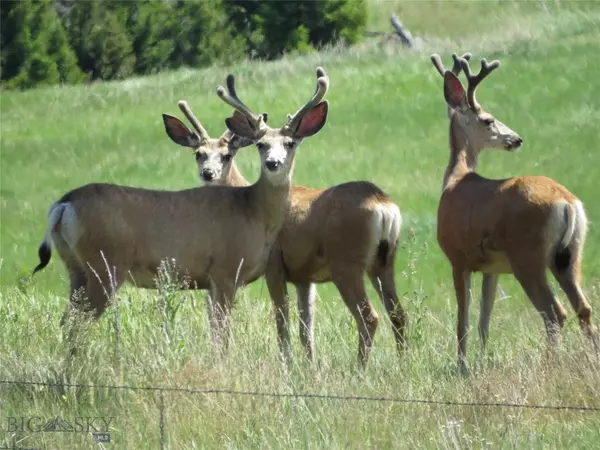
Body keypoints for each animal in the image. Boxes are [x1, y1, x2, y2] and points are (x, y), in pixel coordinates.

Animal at [30, 67, 330, 356]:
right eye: (261, 144)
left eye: (290, 143)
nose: (273, 163)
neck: (252, 210)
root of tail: (64, 203)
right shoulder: (225, 269)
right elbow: (223, 335)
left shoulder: (210, 280)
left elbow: (215, 333)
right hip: (104, 264)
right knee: (78, 323)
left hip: (76, 267)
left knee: (67, 320)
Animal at [164, 68, 406, 368]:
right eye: (261, 144)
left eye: (290, 143)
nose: (273, 163)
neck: (248, 200)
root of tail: (383, 204)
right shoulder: (304, 276)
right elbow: (306, 329)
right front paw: (311, 368)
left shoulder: (274, 264)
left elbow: (282, 322)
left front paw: (287, 367)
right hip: (384, 260)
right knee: (398, 313)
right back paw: (404, 364)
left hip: (347, 262)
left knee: (369, 317)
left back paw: (359, 369)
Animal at [432, 51, 596, 370]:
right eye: (488, 120)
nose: (517, 139)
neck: (455, 180)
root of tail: (568, 202)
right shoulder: (491, 267)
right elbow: (484, 320)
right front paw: (481, 360)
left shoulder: (458, 258)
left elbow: (463, 320)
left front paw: (462, 365)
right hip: (569, 255)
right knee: (584, 308)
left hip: (528, 256)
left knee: (555, 312)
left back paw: (550, 364)